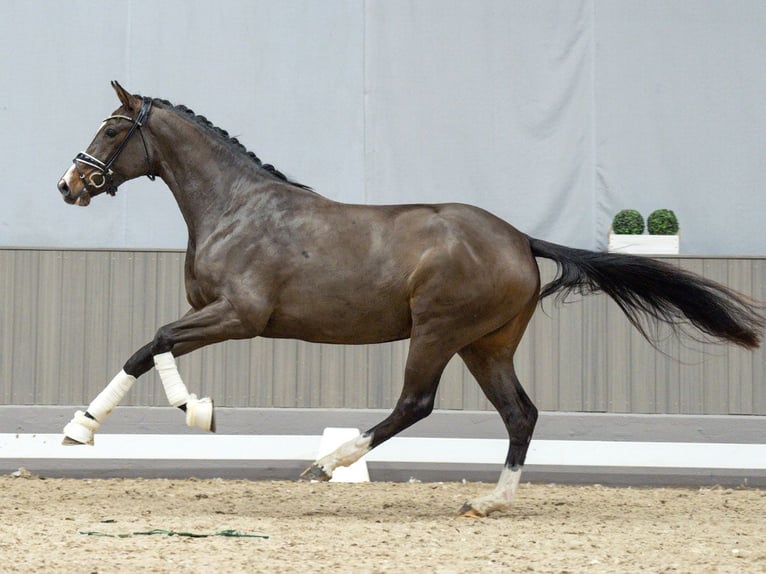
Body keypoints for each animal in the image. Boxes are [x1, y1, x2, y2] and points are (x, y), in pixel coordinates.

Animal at [57, 83, 764, 520]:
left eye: (114, 128)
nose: (69, 185)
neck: (236, 208)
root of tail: (518, 238)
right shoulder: (222, 316)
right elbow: (151, 348)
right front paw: (94, 425)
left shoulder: (240, 316)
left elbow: (154, 342)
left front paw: (169, 416)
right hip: (486, 345)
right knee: (521, 415)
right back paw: (489, 503)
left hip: (438, 332)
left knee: (415, 403)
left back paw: (328, 463)